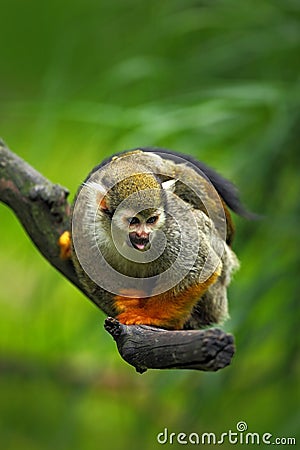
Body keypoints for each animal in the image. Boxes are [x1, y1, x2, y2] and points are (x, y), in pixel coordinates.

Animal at [59, 149, 248, 328]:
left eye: (151, 220)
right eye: (133, 221)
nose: (144, 235)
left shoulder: (170, 227)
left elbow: (200, 268)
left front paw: (150, 315)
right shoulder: (85, 224)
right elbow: (92, 275)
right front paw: (127, 301)